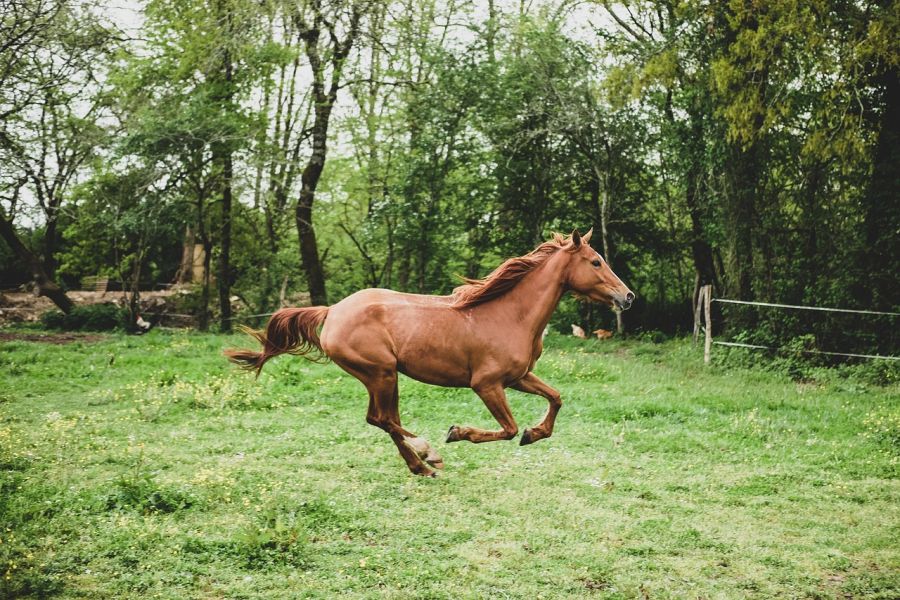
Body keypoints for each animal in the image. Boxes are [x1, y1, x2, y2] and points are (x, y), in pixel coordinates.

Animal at [225, 230, 632, 478]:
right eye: (596, 262)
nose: (627, 297)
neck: (510, 315)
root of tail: (333, 311)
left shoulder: (518, 377)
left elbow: (556, 398)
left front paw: (536, 434)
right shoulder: (486, 384)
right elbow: (507, 428)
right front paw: (459, 432)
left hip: (383, 377)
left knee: (383, 419)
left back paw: (421, 463)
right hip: (381, 373)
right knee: (383, 419)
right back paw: (427, 454)